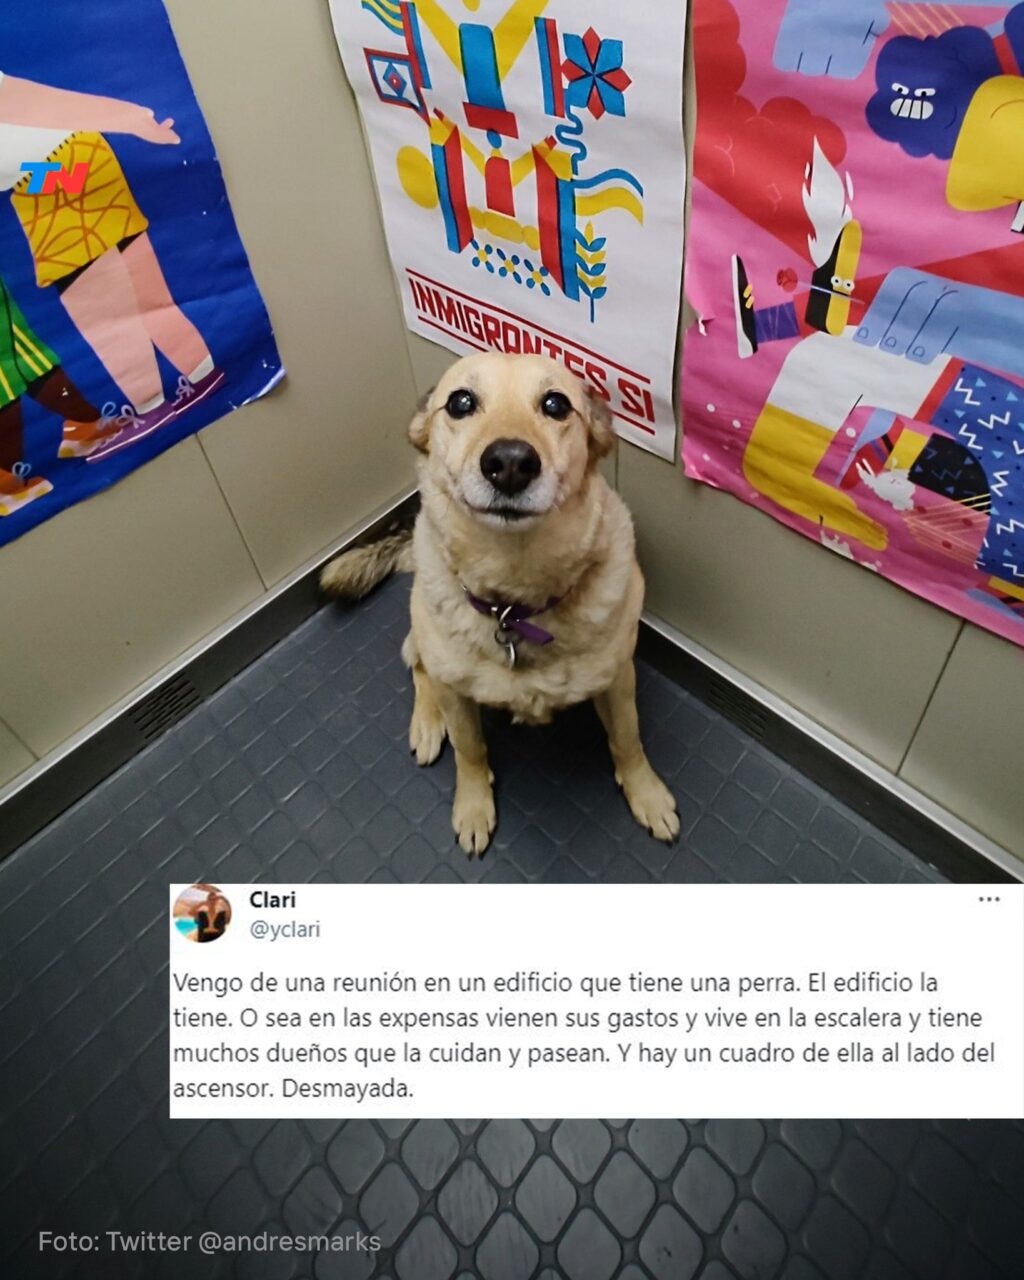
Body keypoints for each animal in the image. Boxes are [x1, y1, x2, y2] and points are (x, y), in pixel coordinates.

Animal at [321, 352, 679, 856]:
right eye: (461, 402)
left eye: (555, 404)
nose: (510, 462)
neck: (514, 605)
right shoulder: (458, 697)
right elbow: (470, 751)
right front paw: (473, 805)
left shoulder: (617, 680)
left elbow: (628, 739)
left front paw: (645, 793)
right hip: (422, 629)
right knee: (419, 666)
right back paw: (428, 723)